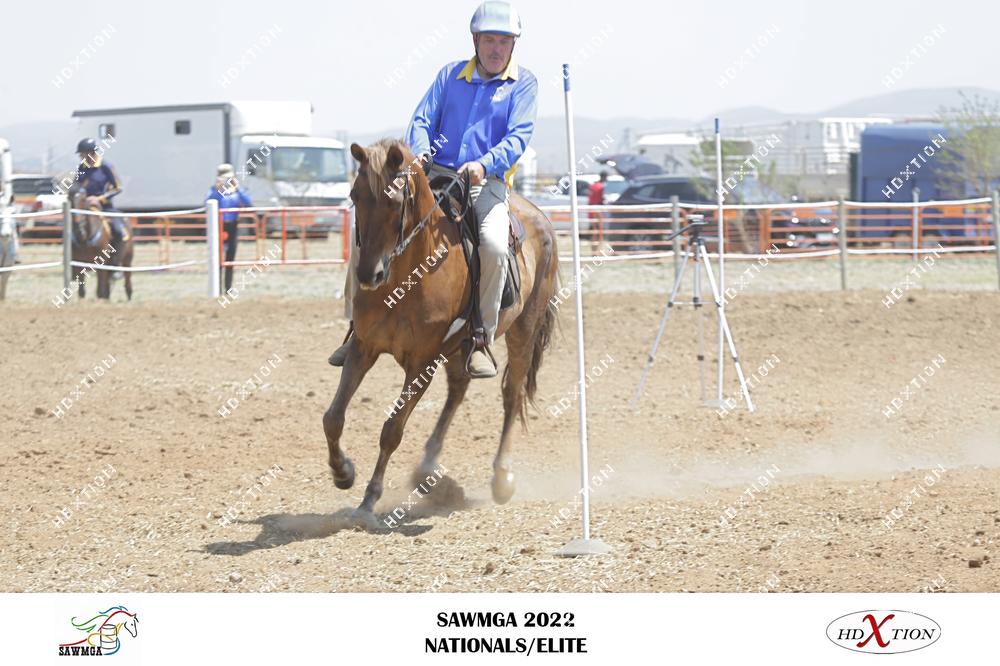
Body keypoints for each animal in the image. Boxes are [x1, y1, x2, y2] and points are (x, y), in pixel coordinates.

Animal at [322, 139, 559, 528]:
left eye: (395, 201)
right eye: (355, 194)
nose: (369, 274)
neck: (408, 276)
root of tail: (541, 217)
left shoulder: (421, 363)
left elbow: (392, 430)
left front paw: (370, 499)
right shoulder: (363, 347)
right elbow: (333, 418)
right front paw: (343, 472)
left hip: (522, 330)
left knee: (511, 394)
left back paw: (501, 478)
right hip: (458, 347)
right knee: (459, 388)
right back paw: (427, 465)